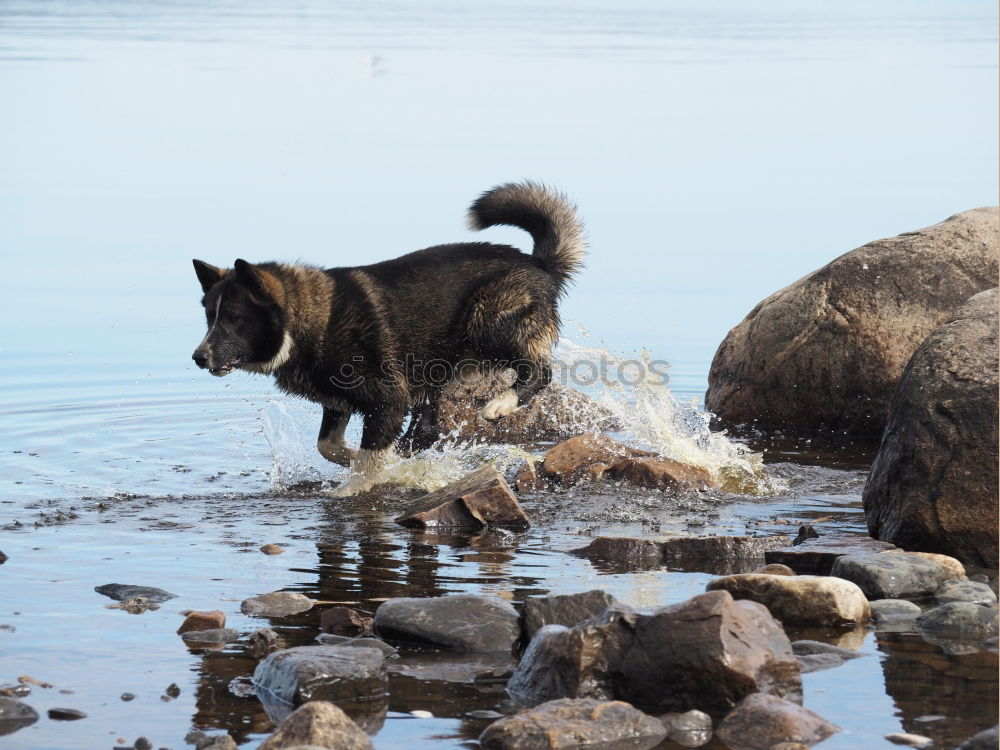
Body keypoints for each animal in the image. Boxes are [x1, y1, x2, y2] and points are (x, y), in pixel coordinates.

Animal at [190, 183, 584, 496]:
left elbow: (368, 457)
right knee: (426, 429)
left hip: (487, 323)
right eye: (209, 316)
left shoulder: (387, 398)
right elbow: (329, 446)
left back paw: (501, 403)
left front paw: (353, 485)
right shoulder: (338, 402)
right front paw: (375, 460)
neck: (311, 320)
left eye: (235, 319)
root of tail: (538, 263)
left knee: (540, 373)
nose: (198, 357)